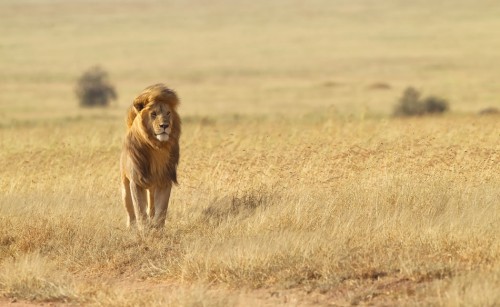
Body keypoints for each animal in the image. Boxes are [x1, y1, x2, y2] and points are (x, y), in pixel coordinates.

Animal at [120, 83, 182, 230]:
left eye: (168, 113)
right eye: (153, 114)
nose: (165, 125)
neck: (157, 147)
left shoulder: (165, 180)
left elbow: (161, 211)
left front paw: (157, 229)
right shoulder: (136, 181)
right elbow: (139, 210)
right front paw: (143, 230)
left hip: (152, 188)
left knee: (152, 207)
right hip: (125, 185)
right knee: (130, 210)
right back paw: (131, 227)